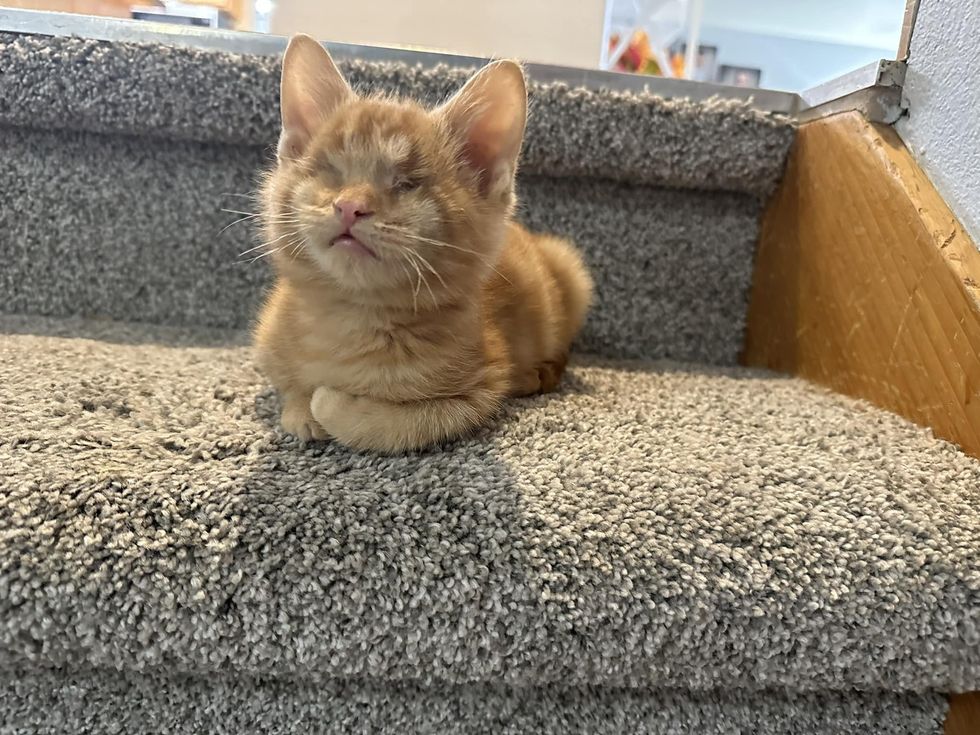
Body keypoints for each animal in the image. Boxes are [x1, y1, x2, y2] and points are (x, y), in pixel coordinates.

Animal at [255, 36, 588, 454]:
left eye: (407, 183)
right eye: (330, 172)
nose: (349, 206)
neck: (350, 319)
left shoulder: (476, 393)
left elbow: (387, 424)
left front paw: (325, 403)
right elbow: (287, 386)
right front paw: (299, 406)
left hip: (571, 269)